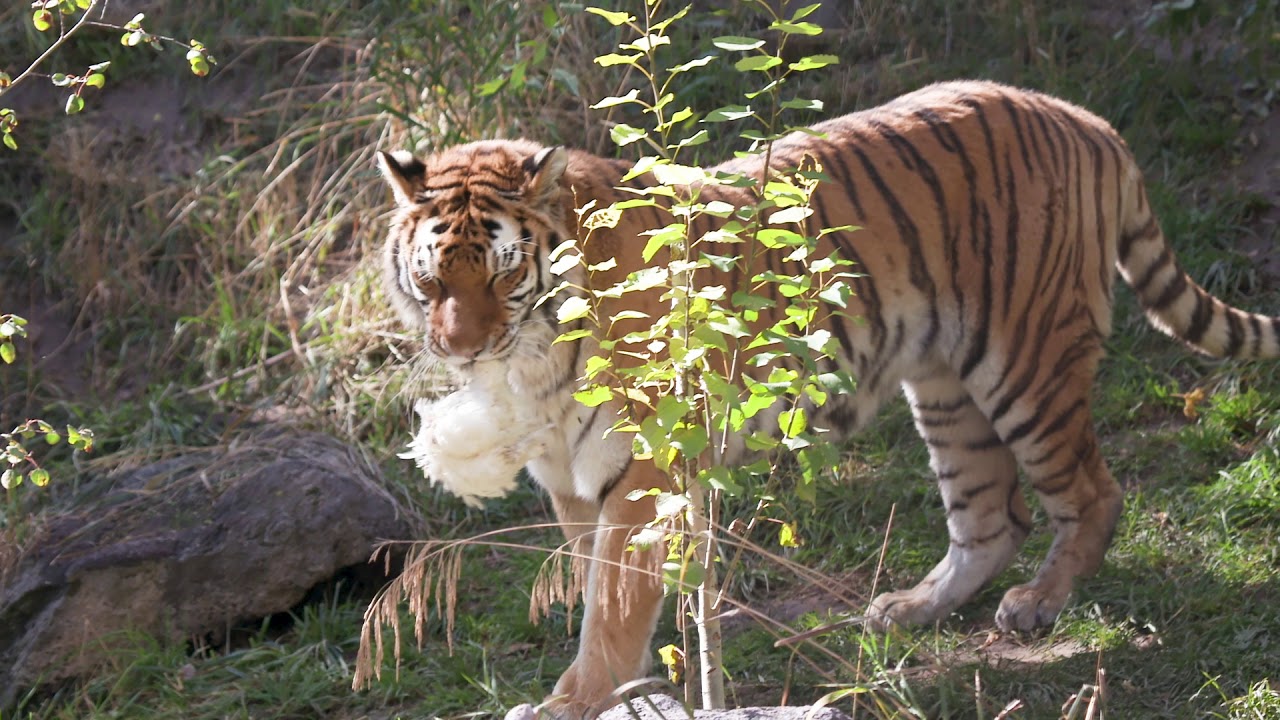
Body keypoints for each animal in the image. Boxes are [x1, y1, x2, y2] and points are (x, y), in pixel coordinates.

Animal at [374, 79, 1280, 717]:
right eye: (434, 278)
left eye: (501, 273)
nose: (457, 347)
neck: (531, 357)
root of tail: (1084, 118)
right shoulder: (570, 475)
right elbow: (605, 588)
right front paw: (628, 689)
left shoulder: (641, 469)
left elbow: (614, 602)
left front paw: (576, 700)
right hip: (945, 388)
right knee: (991, 516)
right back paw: (910, 609)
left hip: (1027, 362)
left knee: (1092, 492)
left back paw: (1037, 606)